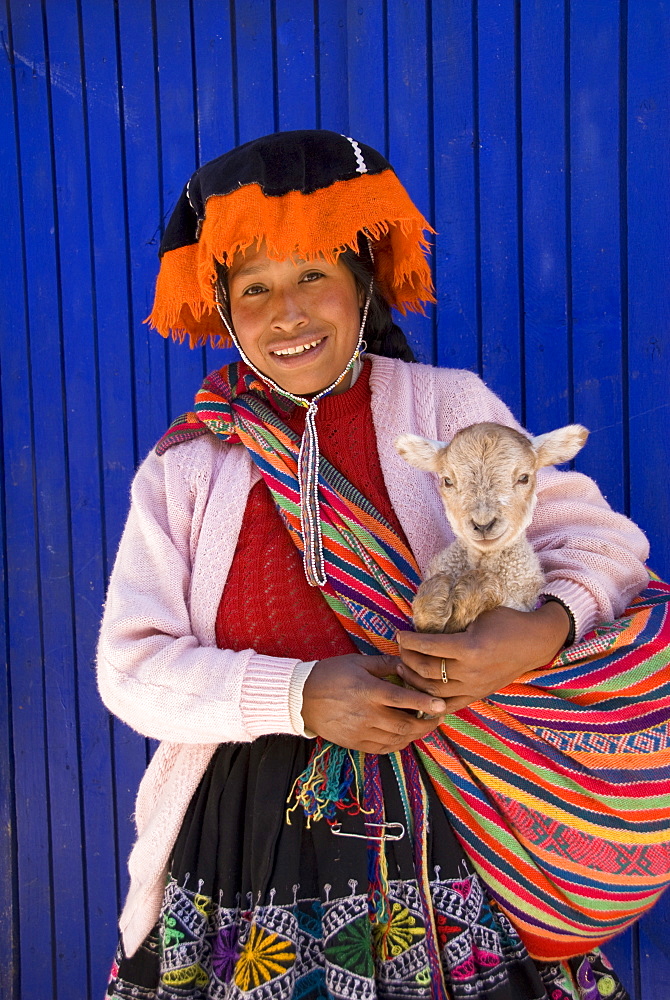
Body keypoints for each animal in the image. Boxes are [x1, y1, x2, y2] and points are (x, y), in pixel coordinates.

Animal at [396, 422, 592, 632]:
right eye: (448, 481)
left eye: (524, 478)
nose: (483, 523)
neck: (484, 560)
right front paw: (436, 598)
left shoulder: (523, 601)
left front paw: (470, 596)